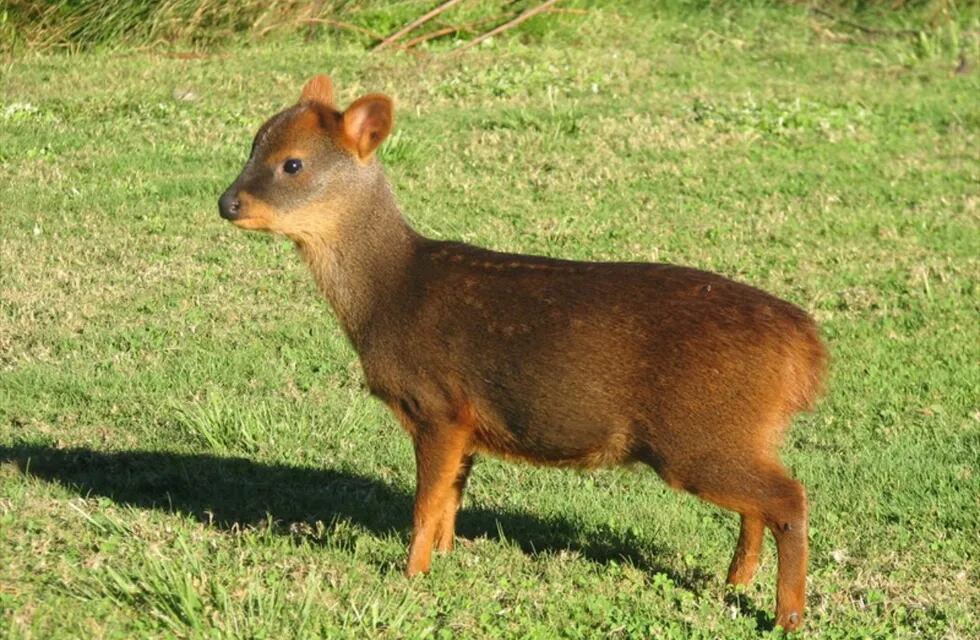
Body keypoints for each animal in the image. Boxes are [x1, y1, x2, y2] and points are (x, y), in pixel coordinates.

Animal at [216, 75, 828, 632]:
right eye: (252, 146)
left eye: (292, 164)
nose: (226, 202)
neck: (386, 297)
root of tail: (805, 347)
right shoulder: (467, 422)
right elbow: (450, 502)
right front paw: (444, 561)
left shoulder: (436, 404)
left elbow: (424, 504)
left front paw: (411, 575)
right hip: (736, 434)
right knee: (761, 506)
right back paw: (737, 581)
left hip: (697, 436)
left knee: (790, 498)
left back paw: (787, 616)